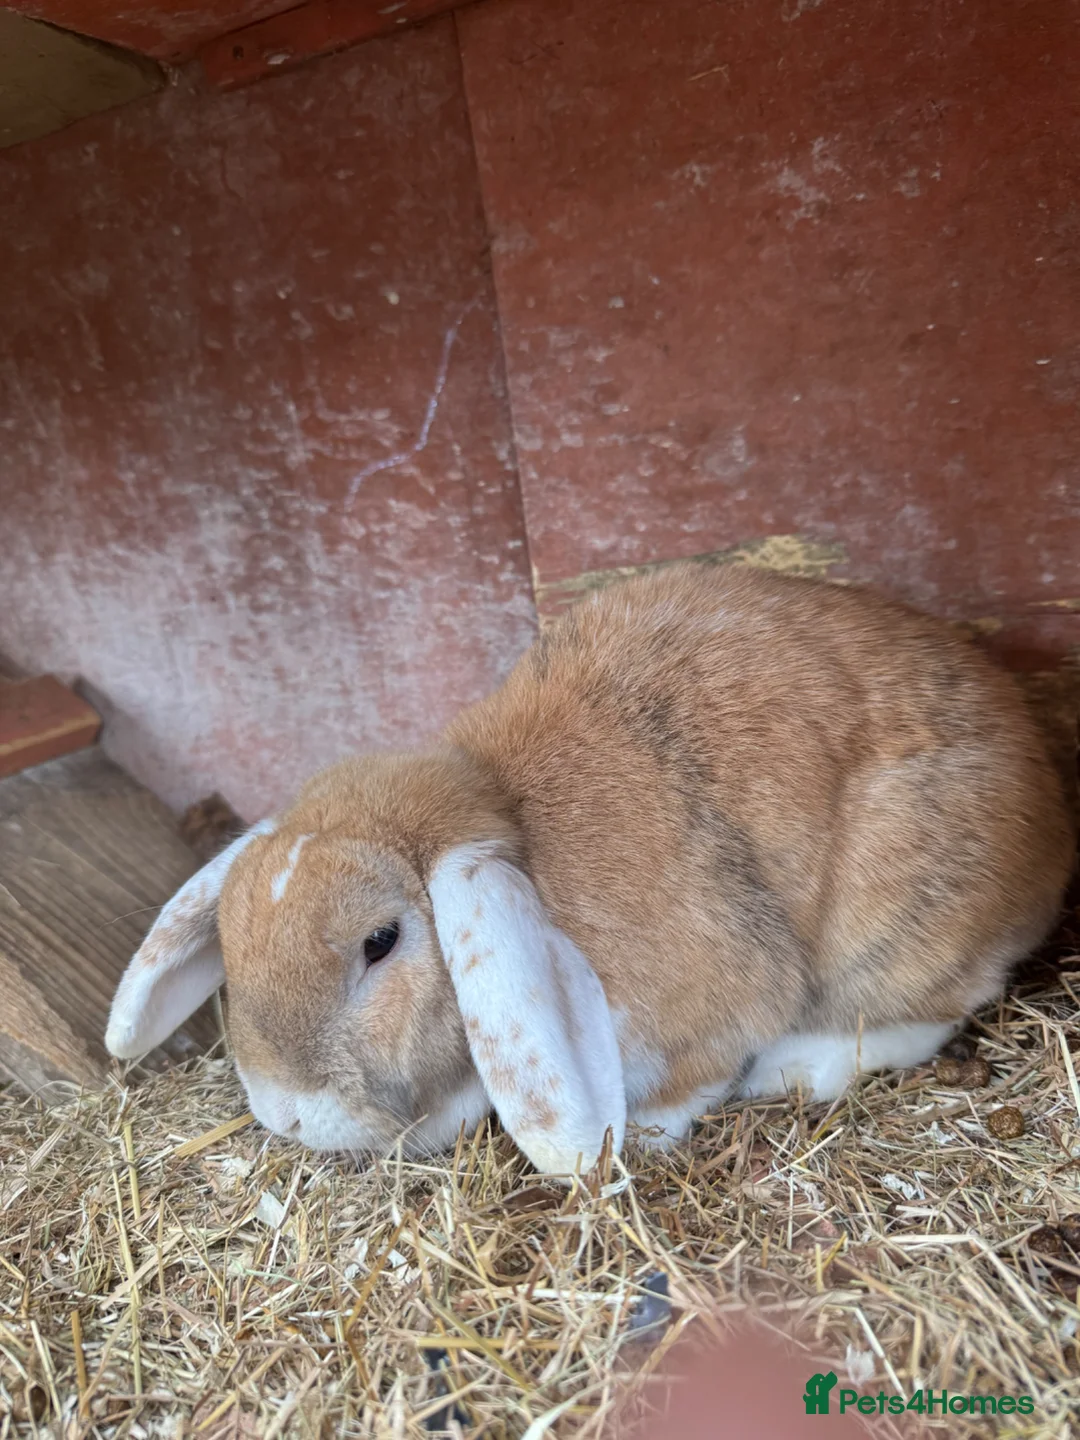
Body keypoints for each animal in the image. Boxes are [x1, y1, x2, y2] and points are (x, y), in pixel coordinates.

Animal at [105, 563, 1075, 1177]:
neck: (504, 814)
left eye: (381, 942)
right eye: (232, 942)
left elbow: (695, 1074)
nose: (284, 1114)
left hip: (900, 923)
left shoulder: (708, 1011)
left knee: (922, 1011)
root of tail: (1051, 805)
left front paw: (634, 1137)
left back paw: (797, 1068)